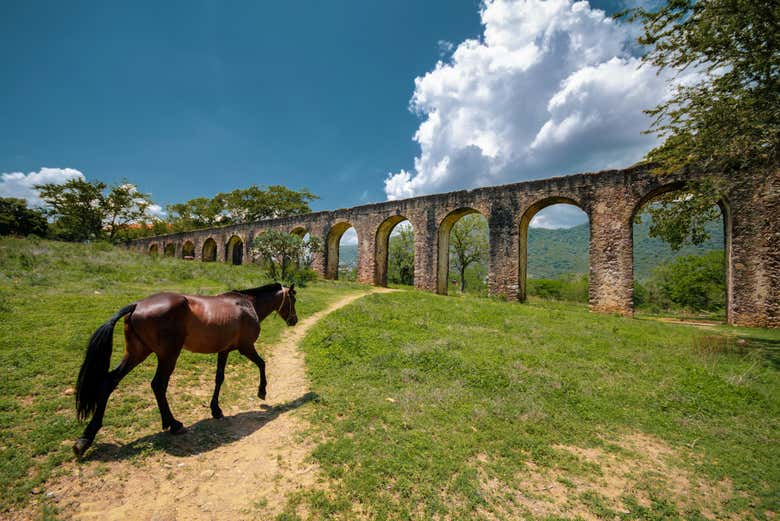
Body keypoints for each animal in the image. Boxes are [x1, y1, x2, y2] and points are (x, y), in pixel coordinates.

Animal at [72, 282, 298, 458]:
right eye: (293, 300)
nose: (294, 320)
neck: (247, 305)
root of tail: (136, 306)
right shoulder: (246, 347)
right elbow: (262, 364)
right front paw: (262, 391)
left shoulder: (224, 351)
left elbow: (219, 378)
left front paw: (216, 409)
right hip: (167, 356)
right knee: (158, 385)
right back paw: (173, 424)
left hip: (137, 353)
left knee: (110, 382)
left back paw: (86, 438)